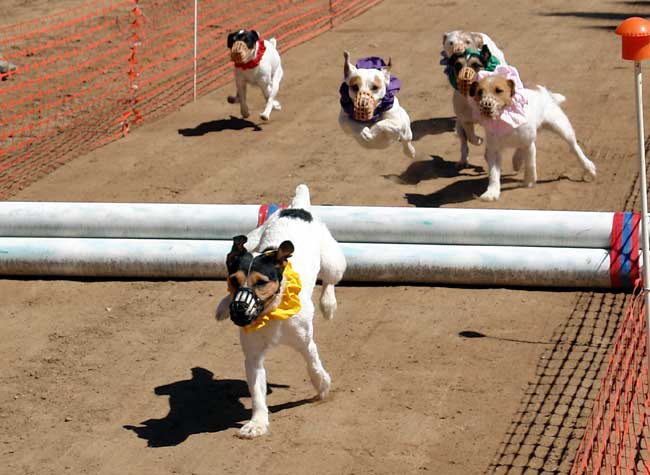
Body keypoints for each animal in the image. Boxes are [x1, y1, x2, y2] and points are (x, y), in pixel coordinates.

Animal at [215, 184, 346, 440]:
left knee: (330, 281)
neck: (270, 313)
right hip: (253, 238)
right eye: (234, 281)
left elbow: (313, 364)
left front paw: (322, 384)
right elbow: (257, 393)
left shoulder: (305, 342)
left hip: (333, 262)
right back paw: (222, 307)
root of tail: (297, 208)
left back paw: (328, 304)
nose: (239, 310)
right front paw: (257, 424)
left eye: (261, 282)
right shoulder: (253, 356)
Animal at [440, 32, 506, 169]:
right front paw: (479, 140)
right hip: (459, 126)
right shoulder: (465, 121)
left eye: (476, 65)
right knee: (464, 142)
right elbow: (471, 138)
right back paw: (463, 160)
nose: (464, 78)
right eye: (458, 66)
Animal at [466, 64, 596, 201]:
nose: (485, 105)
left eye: (498, 90)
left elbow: (530, 163)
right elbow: (494, 173)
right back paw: (517, 160)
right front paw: (491, 192)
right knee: (520, 149)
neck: (505, 120)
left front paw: (529, 181)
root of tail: (544, 93)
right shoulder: (493, 150)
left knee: (574, 147)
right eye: (480, 92)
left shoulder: (528, 144)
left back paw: (588, 166)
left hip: (561, 127)